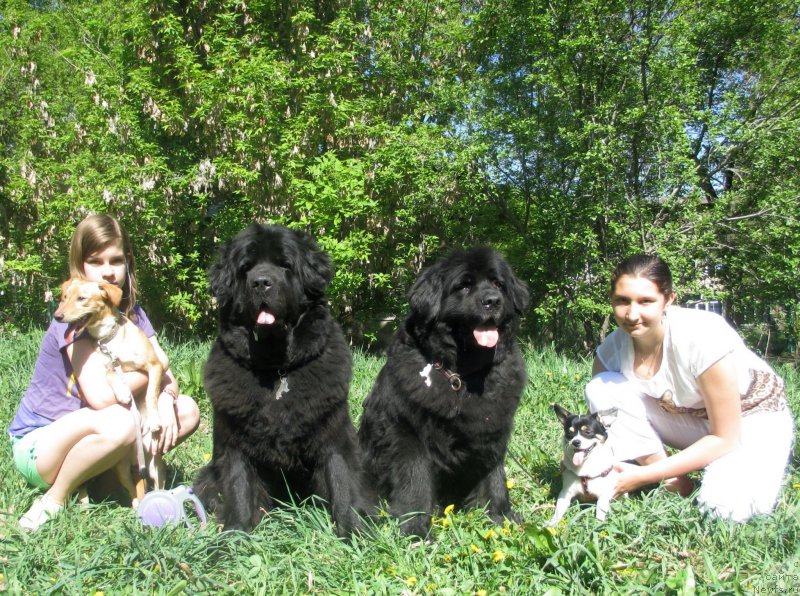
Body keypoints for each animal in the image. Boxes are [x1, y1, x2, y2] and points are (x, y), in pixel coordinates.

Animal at [53, 278, 167, 506]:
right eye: (64, 297)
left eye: (81, 298)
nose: (57, 316)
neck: (109, 340)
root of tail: (136, 460)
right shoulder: (108, 366)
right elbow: (110, 374)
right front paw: (123, 391)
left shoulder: (155, 365)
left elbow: (151, 392)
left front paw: (154, 419)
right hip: (122, 470)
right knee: (134, 491)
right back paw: (136, 506)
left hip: (156, 467)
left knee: (158, 486)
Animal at [198, 224, 376, 536]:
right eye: (246, 268)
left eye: (285, 265)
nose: (261, 282)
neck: (276, 369)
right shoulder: (233, 446)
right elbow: (239, 490)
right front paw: (234, 537)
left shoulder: (334, 437)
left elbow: (343, 484)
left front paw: (352, 533)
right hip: (206, 476)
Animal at [360, 247, 528, 536]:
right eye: (464, 285)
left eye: (498, 284)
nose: (492, 301)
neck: (462, 376)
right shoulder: (406, 432)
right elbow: (415, 480)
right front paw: (415, 528)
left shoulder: (493, 430)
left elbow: (495, 477)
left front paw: (501, 517)